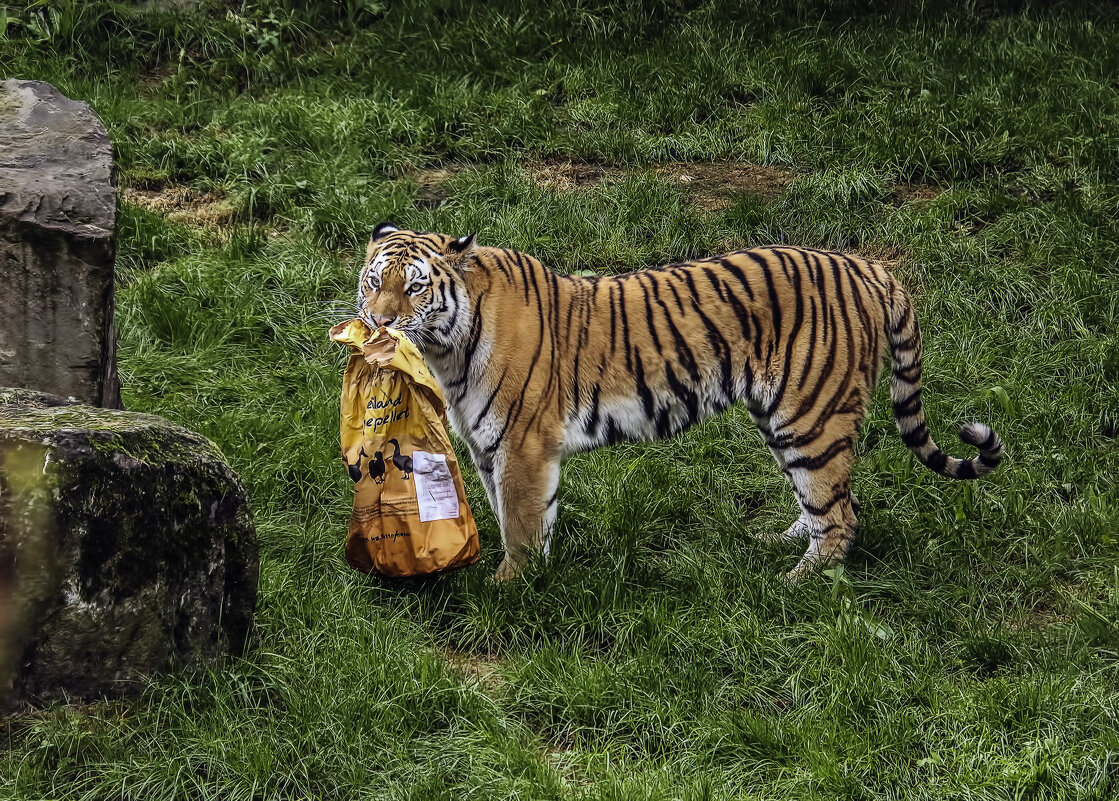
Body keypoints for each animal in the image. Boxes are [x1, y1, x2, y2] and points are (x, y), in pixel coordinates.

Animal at [355, 222, 1007, 577]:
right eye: (374, 281)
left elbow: (519, 522)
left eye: (414, 288)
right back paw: (779, 541)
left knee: (841, 515)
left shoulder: (522, 446)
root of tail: (867, 267)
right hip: (785, 421)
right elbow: (511, 515)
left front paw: (511, 588)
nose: (378, 322)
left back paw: (795, 583)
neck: (449, 351)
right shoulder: (489, 447)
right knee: (823, 501)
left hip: (811, 417)